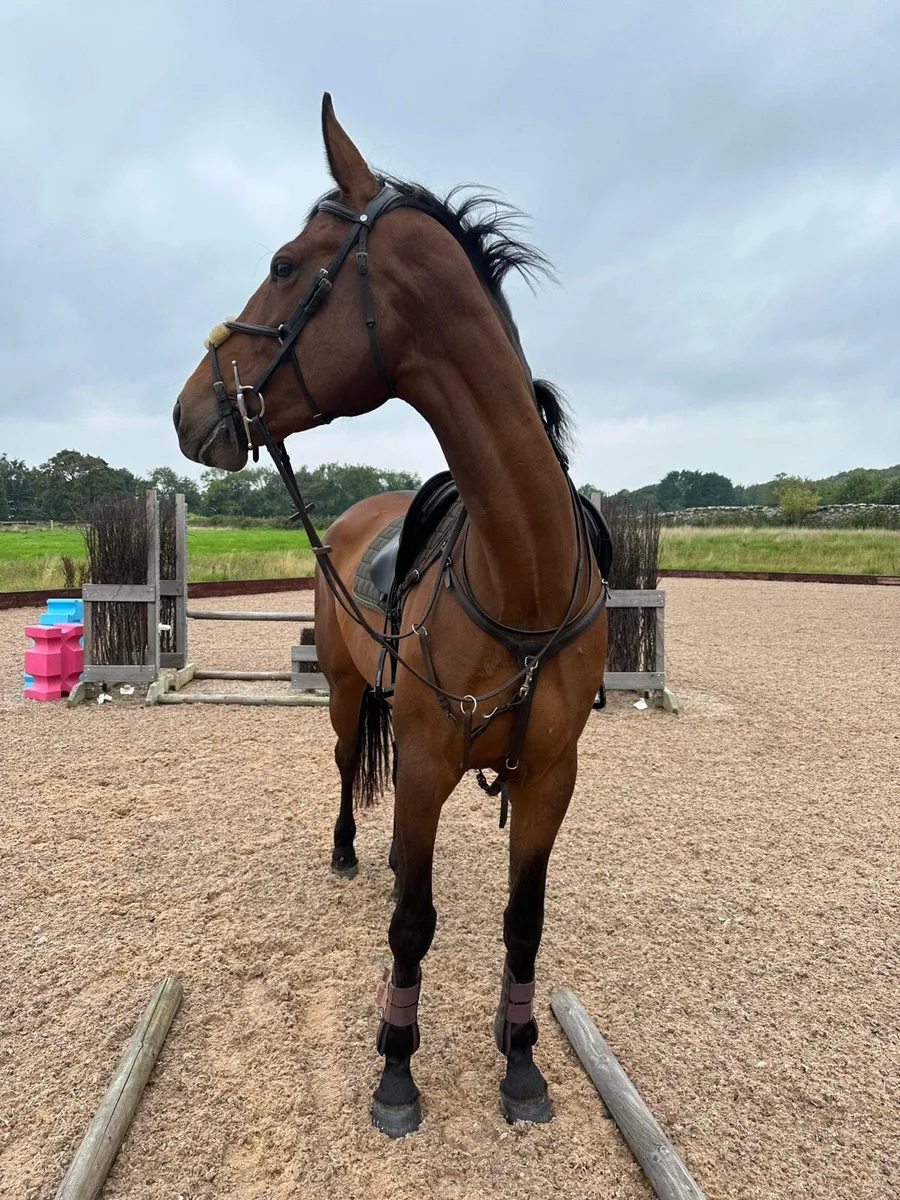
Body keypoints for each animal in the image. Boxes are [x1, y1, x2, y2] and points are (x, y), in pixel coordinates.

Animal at [173, 94, 609, 1138]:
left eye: (286, 263)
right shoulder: (422, 765)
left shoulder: (551, 778)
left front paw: (521, 1062)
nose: (188, 407)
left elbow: (523, 922)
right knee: (342, 766)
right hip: (343, 697)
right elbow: (412, 921)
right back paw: (343, 853)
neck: (522, 573)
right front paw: (397, 1069)